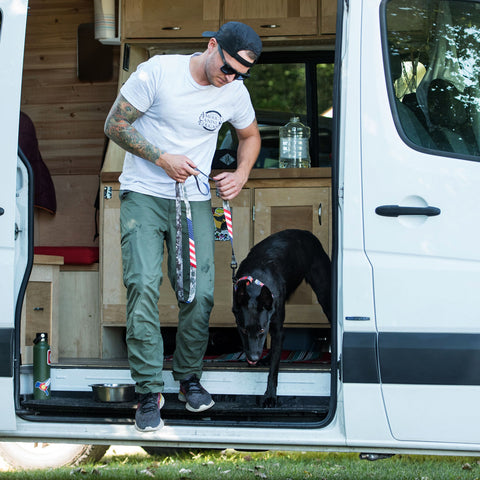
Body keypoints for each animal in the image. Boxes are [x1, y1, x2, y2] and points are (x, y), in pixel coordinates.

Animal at [232, 229, 330, 404]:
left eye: (261, 330)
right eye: (243, 331)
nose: (254, 357)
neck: (254, 285)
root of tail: (306, 232)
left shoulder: (276, 329)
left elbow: (274, 369)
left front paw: (270, 395)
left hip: (324, 295)